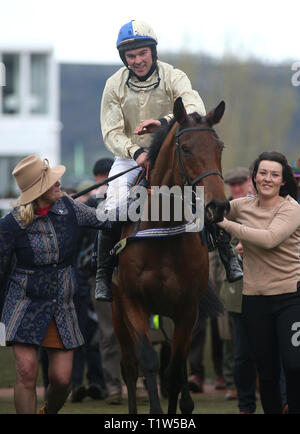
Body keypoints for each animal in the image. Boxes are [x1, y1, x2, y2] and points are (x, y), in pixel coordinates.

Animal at [111, 98, 229, 414]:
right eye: (186, 148)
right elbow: (148, 361)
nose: (218, 206)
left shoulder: (188, 308)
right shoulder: (133, 301)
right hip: (116, 309)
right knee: (128, 366)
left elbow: (175, 369)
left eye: (220, 147)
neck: (162, 231)